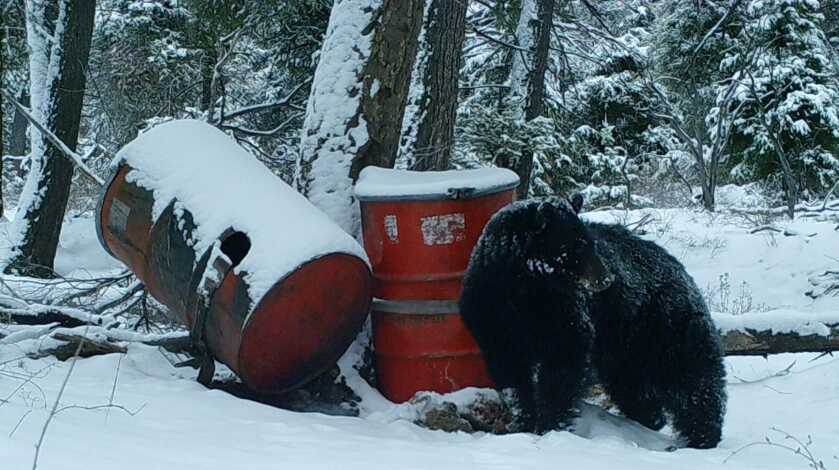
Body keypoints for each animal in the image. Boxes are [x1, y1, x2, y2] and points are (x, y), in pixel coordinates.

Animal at [459, 195, 726, 449]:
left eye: (590, 242)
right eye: (576, 246)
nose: (607, 279)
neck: (525, 288)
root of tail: (679, 268)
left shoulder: (563, 310)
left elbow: (564, 361)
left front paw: (550, 423)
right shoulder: (493, 314)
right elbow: (510, 371)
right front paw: (522, 420)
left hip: (663, 323)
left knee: (691, 377)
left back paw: (702, 437)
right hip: (624, 347)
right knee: (632, 386)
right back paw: (651, 419)